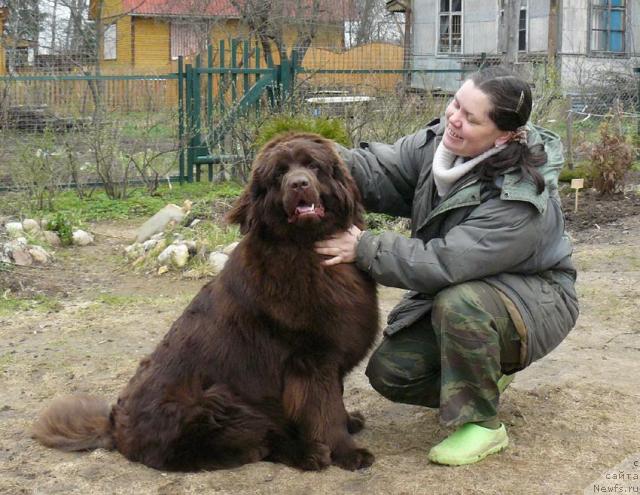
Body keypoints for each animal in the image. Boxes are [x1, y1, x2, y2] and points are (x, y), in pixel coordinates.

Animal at [31, 132, 380, 472]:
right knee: (261, 444)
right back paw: (308, 453)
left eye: (313, 166)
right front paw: (347, 451)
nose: (299, 184)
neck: (305, 248)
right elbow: (325, 410)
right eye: (279, 174)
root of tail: (115, 430)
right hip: (217, 400)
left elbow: (336, 399)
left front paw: (349, 422)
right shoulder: (311, 359)